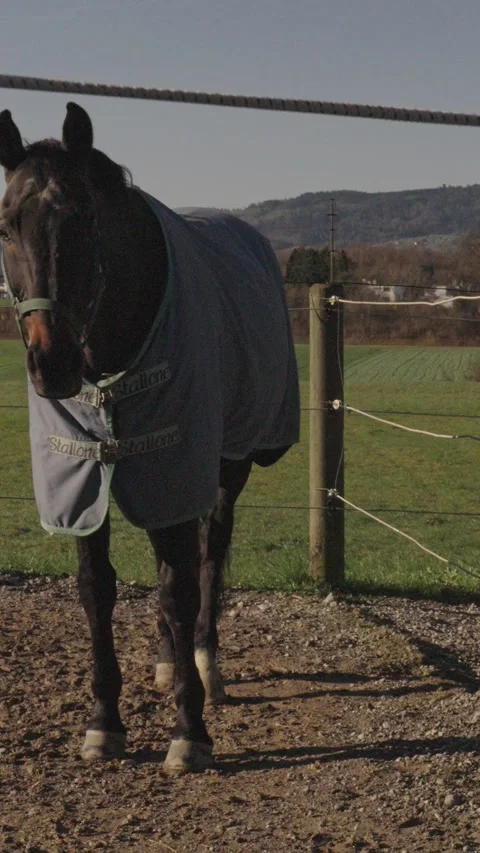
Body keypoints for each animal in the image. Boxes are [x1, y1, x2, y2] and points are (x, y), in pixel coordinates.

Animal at [0, 103, 299, 773]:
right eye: (6, 225)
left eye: (83, 218)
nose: (51, 364)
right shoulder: (85, 479)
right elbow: (99, 590)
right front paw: (104, 722)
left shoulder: (178, 464)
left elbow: (181, 588)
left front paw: (190, 730)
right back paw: (169, 661)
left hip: (224, 465)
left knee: (208, 556)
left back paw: (205, 663)